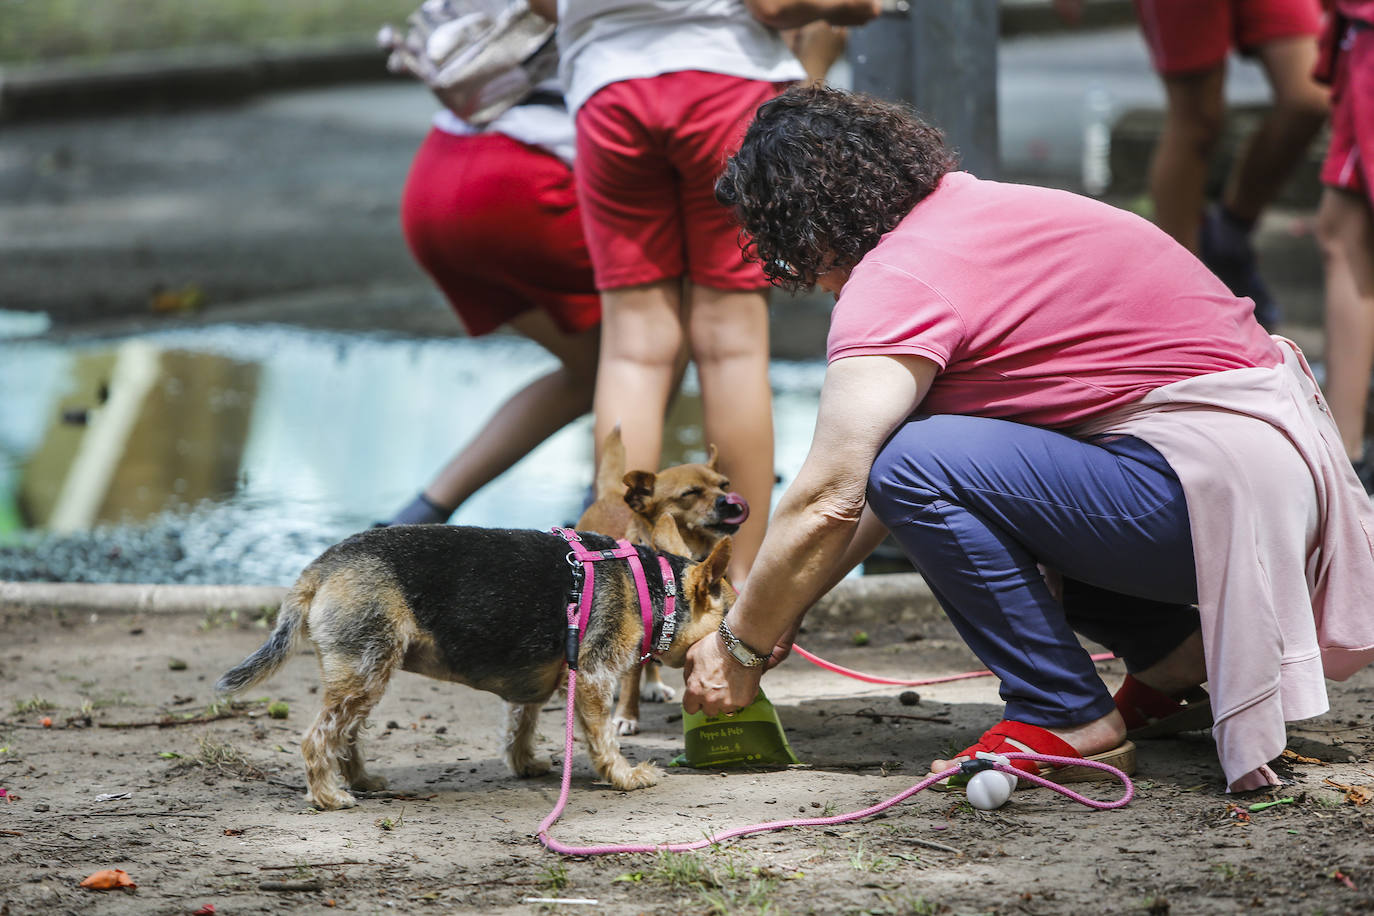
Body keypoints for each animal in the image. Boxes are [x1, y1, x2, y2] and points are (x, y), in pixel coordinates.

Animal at [212, 516, 730, 807]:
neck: (654, 587)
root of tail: (319, 566)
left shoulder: (538, 682)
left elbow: (521, 722)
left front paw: (525, 764)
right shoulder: (595, 679)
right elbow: (603, 738)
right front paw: (626, 777)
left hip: (365, 671)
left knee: (346, 733)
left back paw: (360, 780)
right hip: (365, 670)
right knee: (318, 737)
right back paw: (328, 796)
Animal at [579, 425, 752, 736]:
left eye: (724, 484)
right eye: (690, 493)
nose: (729, 501)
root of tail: (612, 493)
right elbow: (631, 679)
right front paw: (626, 716)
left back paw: (654, 685)